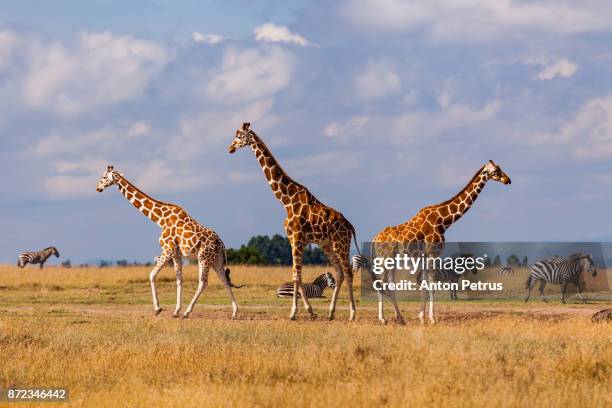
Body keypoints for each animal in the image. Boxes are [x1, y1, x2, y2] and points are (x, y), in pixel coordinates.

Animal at [95, 166, 239, 318]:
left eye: (104, 177)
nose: (98, 188)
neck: (160, 219)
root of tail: (221, 244)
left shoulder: (167, 249)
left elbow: (152, 275)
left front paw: (158, 309)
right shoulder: (176, 254)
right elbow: (179, 280)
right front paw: (175, 311)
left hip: (203, 257)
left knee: (203, 282)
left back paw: (187, 312)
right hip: (216, 260)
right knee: (224, 280)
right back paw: (234, 312)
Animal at [231, 122, 364, 320]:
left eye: (239, 135)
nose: (230, 147)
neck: (286, 200)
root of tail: (351, 227)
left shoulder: (298, 237)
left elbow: (296, 275)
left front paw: (294, 312)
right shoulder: (293, 239)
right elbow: (297, 275)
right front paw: (310, 311)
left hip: (341, 243)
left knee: (348, 272)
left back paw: (352, 314)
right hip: (327, 244)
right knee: (339, 273)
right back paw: (331, 313)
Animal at [366, 161, 510, 324]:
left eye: (500, 168)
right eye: (495, 171)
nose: (507, 180)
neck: (444, 221)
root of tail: (375, 239)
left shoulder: (426, 256)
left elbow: (426, 286)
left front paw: (422, 318)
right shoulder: (433, 253)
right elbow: (432, 286)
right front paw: (432, 319)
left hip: (391, 260)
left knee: (389, 285)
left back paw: (400, 318)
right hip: (384, 258)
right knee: (380, 283)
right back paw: (383, 319)